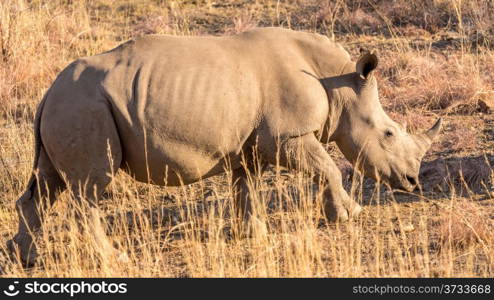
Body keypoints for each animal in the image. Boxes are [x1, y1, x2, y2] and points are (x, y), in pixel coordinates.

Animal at [6, 27, 440, 264]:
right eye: (389, 134)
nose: (413, 182)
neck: (340, 85)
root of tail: (47, 92)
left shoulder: (252, 144)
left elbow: (247, 185)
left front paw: (254, 234)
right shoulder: (289, 135)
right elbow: (328, 167)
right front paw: (349, 215)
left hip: (71, 105)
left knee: (48, 184)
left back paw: (26, 258)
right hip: (83, 106)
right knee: (89, 190)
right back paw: (114, 258)